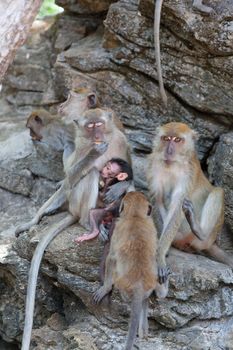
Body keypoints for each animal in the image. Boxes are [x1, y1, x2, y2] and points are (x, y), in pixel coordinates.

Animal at [15, 108, 131, 350]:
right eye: (90, 126)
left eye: (99, 124)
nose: (97, 134)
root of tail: (74, 211)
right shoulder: (80, 145)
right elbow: (73, 176)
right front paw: (95, 153)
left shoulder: (121, 140)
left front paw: (121, 184)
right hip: (78, 203)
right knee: (88, 176)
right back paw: (90, 223)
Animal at [93, 191, 167, 350]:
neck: (136, 216)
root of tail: (139, 285)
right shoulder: (151, 226)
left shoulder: (117, 230)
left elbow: (111, 258)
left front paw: (105, 288)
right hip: (151, 283)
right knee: (156, 293)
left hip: (122, 285)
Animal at [147, 123, 233, 284]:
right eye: (166, 138)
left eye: (177, 140)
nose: (169, 151)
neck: (172, 165)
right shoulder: (154, 167)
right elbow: (159, 200)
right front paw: (160, 251)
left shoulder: (188, 173)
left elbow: (177, 208)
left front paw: (160, 255)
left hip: (205, 235)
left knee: (218, 192)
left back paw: (199, 231)